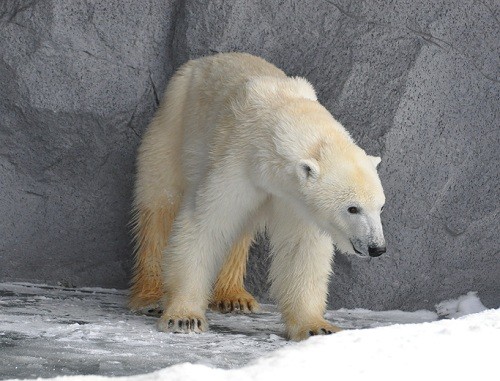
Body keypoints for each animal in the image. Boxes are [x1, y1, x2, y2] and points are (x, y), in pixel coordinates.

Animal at [130, 52, 386, 338]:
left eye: (380, 207)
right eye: (352, 208)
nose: (377, 247)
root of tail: (201, 61)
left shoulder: (293, 198)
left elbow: (300, 247)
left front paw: (317, 327)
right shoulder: (236, 159)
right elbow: (207, 223)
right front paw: (184, 318)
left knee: (241, 229)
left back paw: (233, 297)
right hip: (173, 127)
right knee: (160, 205)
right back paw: (150, 297)